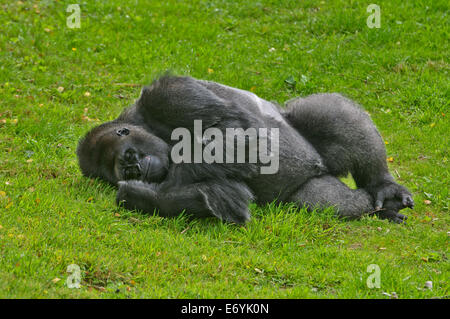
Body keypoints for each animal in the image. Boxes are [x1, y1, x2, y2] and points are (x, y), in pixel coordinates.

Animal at [76, 75, 414, 225]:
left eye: (127, 157)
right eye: (119, 170)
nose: (133, 169)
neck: (142, 122)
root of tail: (321, 166)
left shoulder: (166, 95)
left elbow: (235, 127)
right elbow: (221, 195)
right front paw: (136, 193)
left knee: (332, 114)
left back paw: (384, 185)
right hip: (310, 186)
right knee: (332, 204)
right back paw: (378, 208)